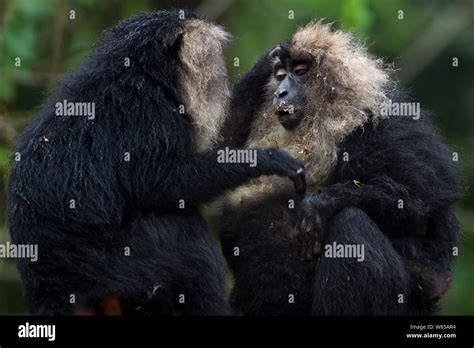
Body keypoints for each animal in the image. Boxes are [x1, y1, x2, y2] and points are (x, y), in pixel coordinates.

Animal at [6, 10, 304, 316]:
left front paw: (264, 66)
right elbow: (158, 185)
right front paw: (263, 160)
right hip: (115, 268)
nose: (221, 72)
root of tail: (52, 292)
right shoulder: (148, 114)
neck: (144, 74)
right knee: (180, 230)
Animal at [220, 21, 462, 316]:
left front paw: (319, 204)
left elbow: (418, 204)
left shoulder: (387, 125)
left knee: (352, 220)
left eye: (300, 72)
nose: (280, 93)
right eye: (280, 75)